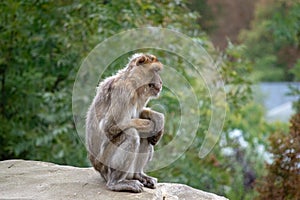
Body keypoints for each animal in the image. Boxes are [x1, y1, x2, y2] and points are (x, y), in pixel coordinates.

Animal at [85, 52, 165, 192]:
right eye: (155, 70)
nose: (160, 82)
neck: (132, 82)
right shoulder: (124, 91)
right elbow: (109, 126)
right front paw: (153, 126)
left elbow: (139, 113)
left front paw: (158, 118)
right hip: (106, 165)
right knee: (132, 134)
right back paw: (116, 182)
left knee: (143, 137)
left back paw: (139, 176)